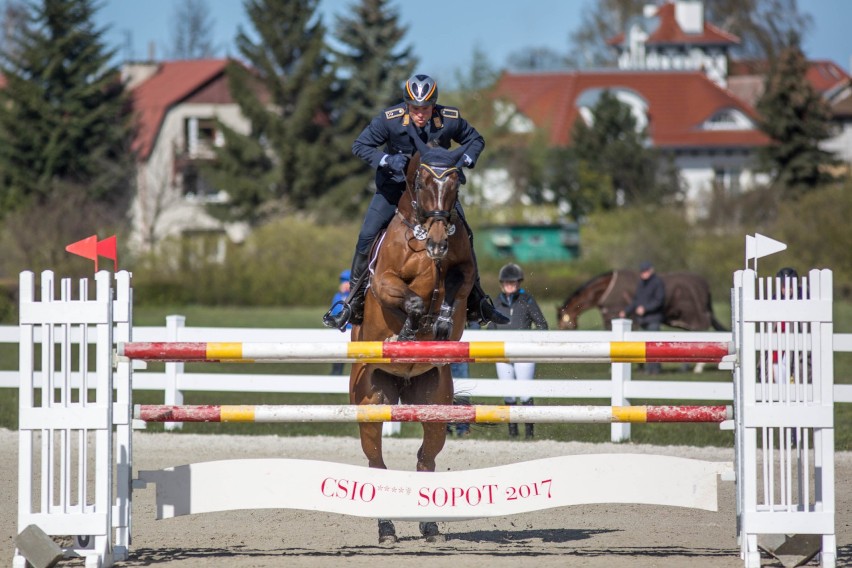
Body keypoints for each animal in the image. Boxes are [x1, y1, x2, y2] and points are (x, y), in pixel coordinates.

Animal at [350, 140, 476, 544]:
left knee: (426, 457)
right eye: (421, 183)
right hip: (371, 400)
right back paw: (387, 528)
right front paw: (406, 331)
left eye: (455, 184)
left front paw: (441, 324)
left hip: (434, 401)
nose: (437, 241)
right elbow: (413, 299)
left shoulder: (463, 270)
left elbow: (452, 290)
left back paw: (430, 525)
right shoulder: (384, 279)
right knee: (376, 462)